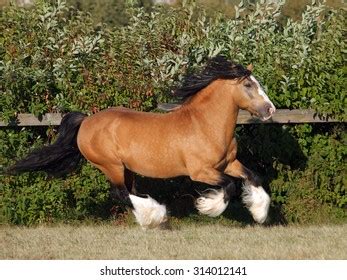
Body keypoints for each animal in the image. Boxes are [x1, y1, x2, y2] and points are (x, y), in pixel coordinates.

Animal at [8, 55, 278, 229]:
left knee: (129, 191)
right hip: (110, 166)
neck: (205, 124)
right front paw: (207, 207)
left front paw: (259, 214)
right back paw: (155, 216)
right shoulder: (201, 172)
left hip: (126, 168)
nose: (270, 110)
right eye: (248, 84)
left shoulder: (229, 164)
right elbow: (230, 187)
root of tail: (86, 121)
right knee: (120, 194)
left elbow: (253, 177)